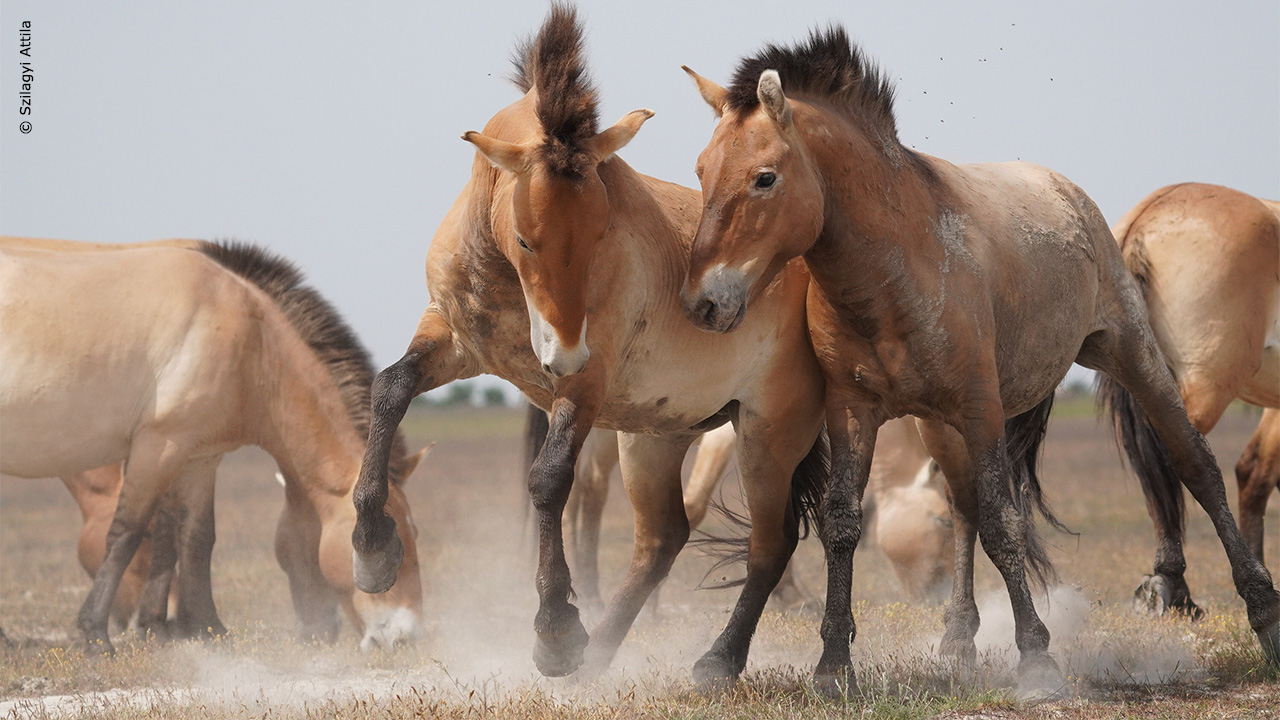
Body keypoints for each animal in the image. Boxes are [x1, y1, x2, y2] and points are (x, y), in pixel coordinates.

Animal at [0, 235, 427, 650]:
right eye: (388, 540)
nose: (405, 637)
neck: (250, 341)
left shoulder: (197, 458)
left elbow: (195, 538)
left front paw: (200, 630)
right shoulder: (158, 448)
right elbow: (127, 535)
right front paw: (96, 636)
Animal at [353, 4, 829, 681]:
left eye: (602, 228)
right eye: (526, 239)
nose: (562, 354)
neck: (505, 279)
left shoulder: (584, 387)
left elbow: (550, 480)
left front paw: (554, 632)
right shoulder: (451, 338)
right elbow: (390, 389)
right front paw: (372, 549)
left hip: (768, 431)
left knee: (774, 539)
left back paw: (712, 659)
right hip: (658, 434)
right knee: (662, 539)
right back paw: (603, 650)